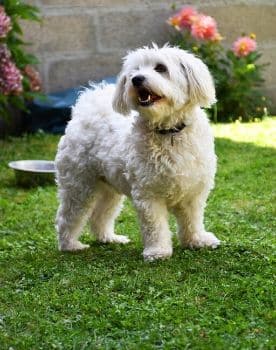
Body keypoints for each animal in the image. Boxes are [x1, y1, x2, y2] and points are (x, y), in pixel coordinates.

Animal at [55, 44, 220, 260]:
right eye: (134, 71)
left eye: (161, 68)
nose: (136, 79)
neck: (169, 132)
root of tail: (85, 109)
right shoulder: (148, 195)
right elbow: (155, 227)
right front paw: (158, 251)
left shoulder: (193, 192)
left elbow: (192, 219)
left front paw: (197, 240)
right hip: (79, 186)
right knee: (67, 216)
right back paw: (70, 245)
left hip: (109, 189)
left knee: (99, 216)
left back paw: (109, 238)